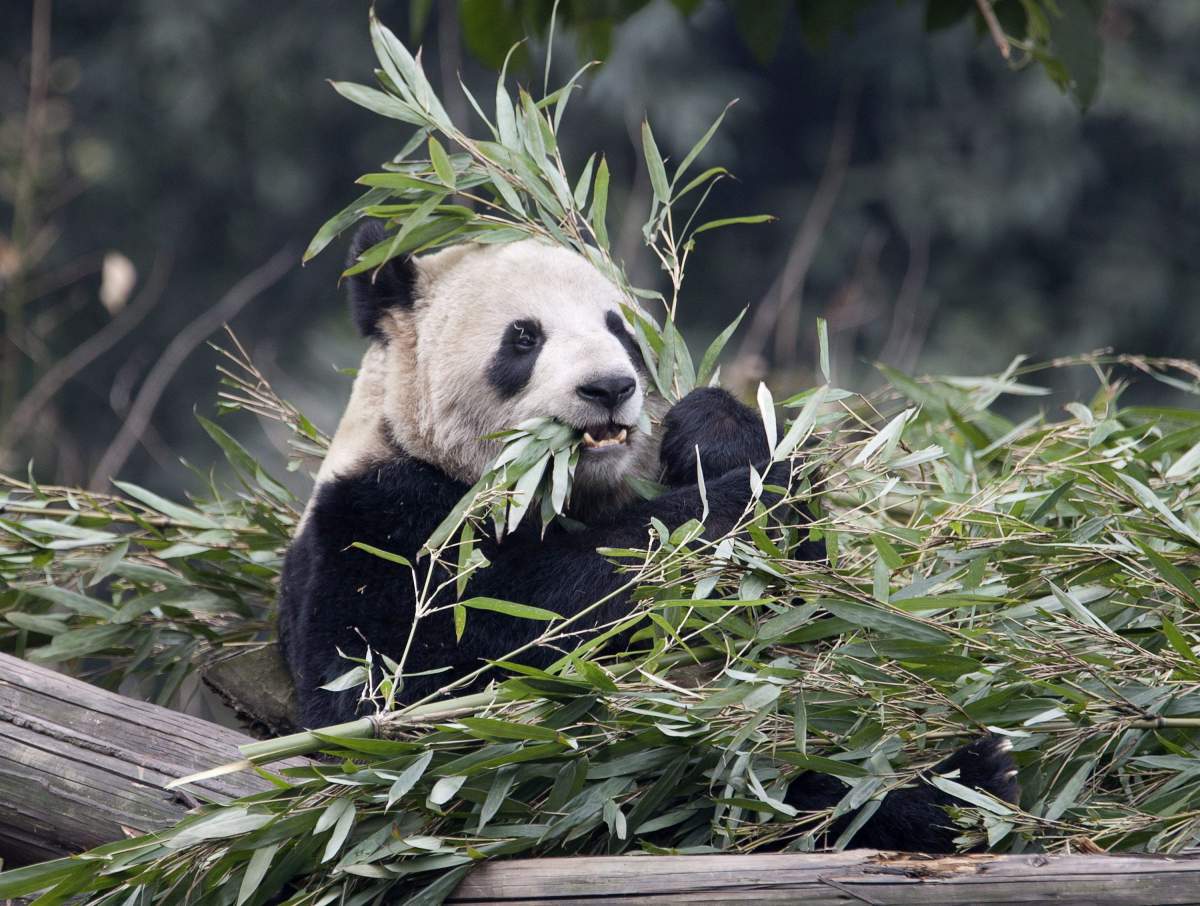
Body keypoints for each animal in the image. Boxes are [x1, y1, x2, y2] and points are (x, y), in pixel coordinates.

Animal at [278, 222, 1018, 852]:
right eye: (523, 338)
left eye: (620, 330)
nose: (609, 387)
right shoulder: (383, 526)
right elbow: (415, 688)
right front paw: (736, 502)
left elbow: (814, 602)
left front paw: (715, 433)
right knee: (746, 776)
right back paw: (959, 784)